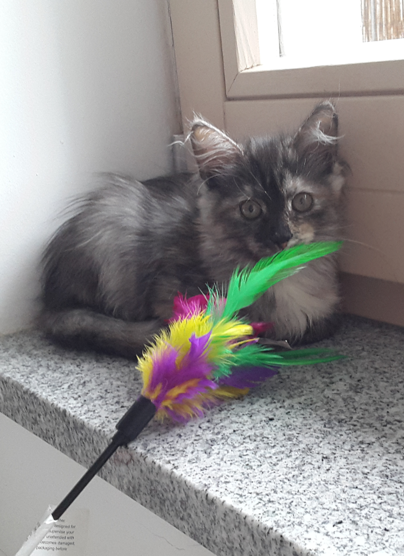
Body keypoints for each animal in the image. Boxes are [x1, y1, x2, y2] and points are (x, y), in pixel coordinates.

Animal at [39, 101, 346, 359]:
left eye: (302, 201)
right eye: (250, 209)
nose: (281, 236)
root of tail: (51, 300)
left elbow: (320, 325)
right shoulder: (169, 294)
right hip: (116, 223)